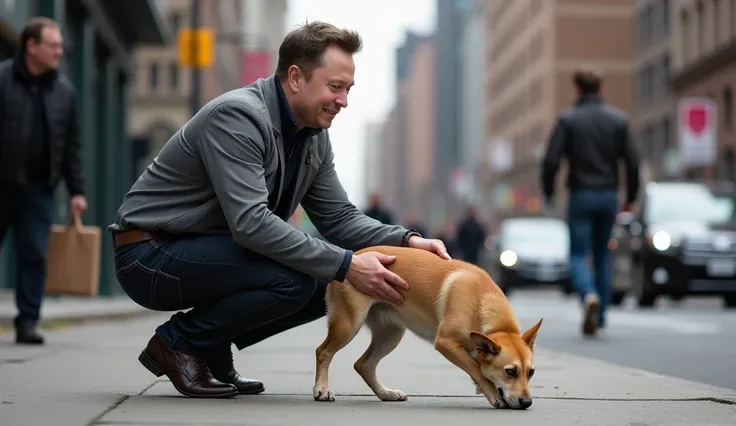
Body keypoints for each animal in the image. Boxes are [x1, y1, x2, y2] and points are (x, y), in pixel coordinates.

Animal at [314, 246, 544, 410]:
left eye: (531, 372)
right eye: (510, 372)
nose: (527, 403)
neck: (481, 299)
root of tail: (354, 257)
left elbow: (477, 365)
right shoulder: (446, 343)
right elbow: (475, 368)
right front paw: (492, 392)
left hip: (390, 335)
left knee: (364, 365)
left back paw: (385, 393)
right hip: (348, 325)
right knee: (323, 352)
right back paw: (322, 389)